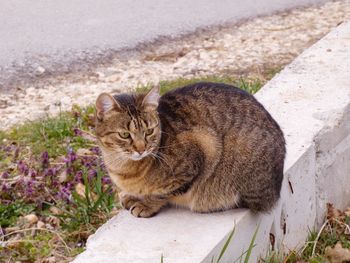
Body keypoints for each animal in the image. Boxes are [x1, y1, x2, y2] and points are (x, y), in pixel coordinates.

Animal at [94, 82, 286, 219]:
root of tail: (276, 191)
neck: (123, 168)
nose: (141, 149)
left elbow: (163, 192)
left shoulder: (204, 146)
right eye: (125, 135)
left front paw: (146, 204)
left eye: (149, 131)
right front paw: (131, 195)